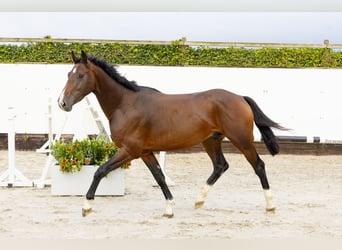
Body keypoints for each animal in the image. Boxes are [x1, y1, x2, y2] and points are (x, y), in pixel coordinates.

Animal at [57, 50, 284, 217]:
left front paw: (86, 206)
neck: (126, 104)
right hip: (211, 141)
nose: (62, 103)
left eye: (80, 75)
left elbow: (100, 171)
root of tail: (239, 97)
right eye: (68, 74)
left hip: (241, 140)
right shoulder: (144, 152)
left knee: (258, 165)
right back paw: (199, 200)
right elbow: (159, 177)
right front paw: (169, 208)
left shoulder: (130, 150)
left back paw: (270, 205)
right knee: (220, 166)